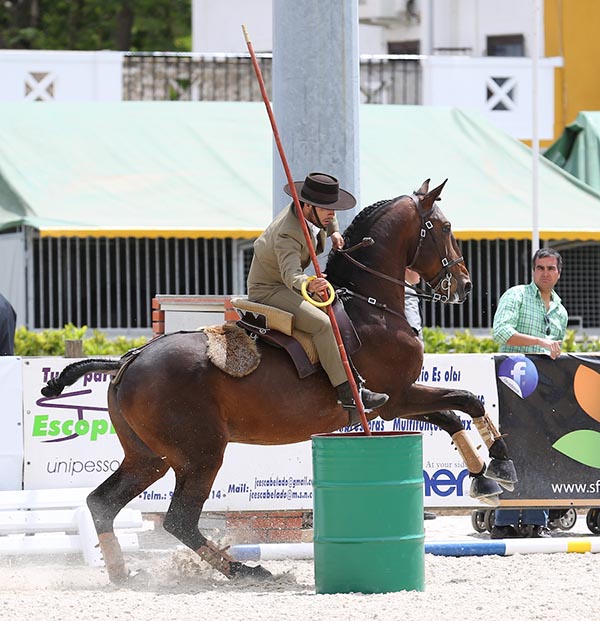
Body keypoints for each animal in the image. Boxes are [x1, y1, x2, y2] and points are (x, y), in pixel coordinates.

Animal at [44, 178, 516, 580]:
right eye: (446, 227)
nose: (465, 285)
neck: (372, 305)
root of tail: (131, 358)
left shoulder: (398, 401)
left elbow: (453, 414)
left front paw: (485, 478)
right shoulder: (398, 396)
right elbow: (467, 400)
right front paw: (501, 466)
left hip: (149, 457)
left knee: (103, 503)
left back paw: (123, 573)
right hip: (199, 455)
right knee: (179, 519)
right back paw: (243, 570)